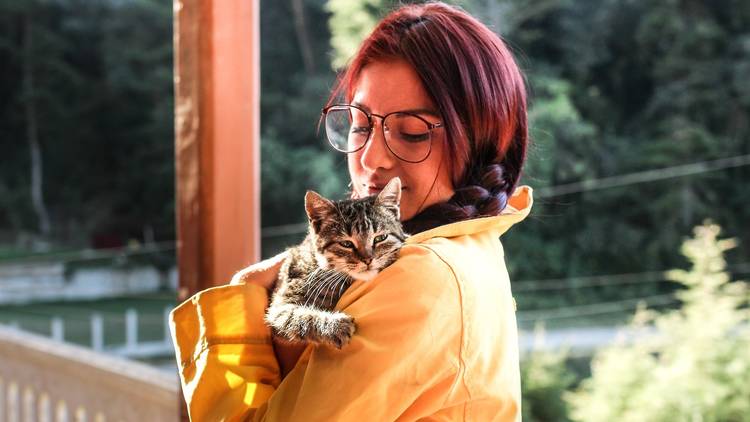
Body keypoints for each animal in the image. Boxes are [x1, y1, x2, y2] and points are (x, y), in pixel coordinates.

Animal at [264, 176, 406, 348]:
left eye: (380, 238)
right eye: (346, 244)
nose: (367, 259)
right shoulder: (280, 307)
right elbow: (300, 317)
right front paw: (333, 326)